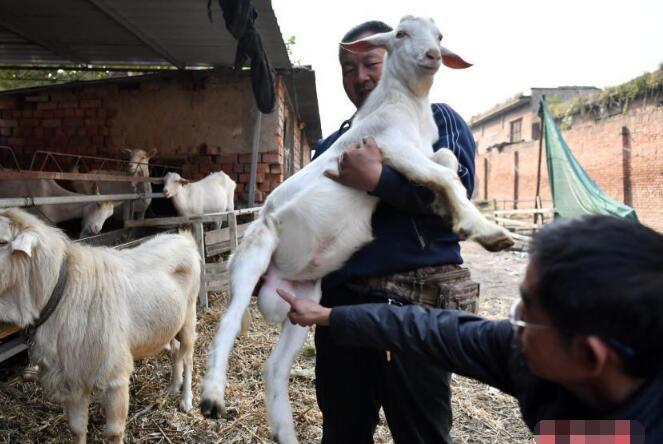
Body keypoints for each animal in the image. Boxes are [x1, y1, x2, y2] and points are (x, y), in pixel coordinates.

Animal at [0, 208, 200, 444]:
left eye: (2, 241)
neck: (61, 291)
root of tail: (184, 238)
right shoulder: (73, 377)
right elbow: (77, 429)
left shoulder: (115, 378)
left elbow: (114, 433)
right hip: (169, 325)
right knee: (176, 352)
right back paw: (172, 387)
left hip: (189, 317)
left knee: (188, 357)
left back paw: (186, 400)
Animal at [200, 15, 516, 442]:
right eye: (400, 34)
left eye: (440, 36)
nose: (432, 55)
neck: (409, 107)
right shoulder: (391, 146)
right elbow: (446, 175)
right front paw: (482, 229)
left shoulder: (420, 150)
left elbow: (450, 161)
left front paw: (441, 207)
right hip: (255, 252)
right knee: (229, 321)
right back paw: (212, 398)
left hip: (303, 299)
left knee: (275, 366)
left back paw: (284, 431)